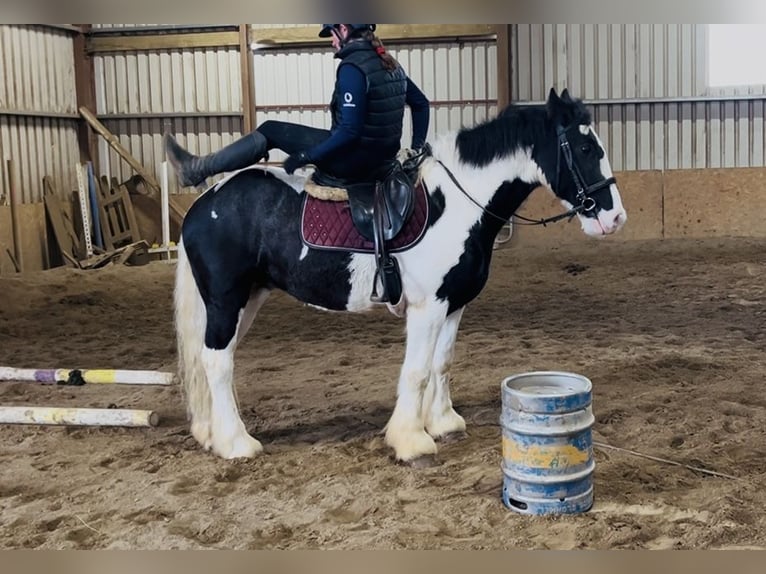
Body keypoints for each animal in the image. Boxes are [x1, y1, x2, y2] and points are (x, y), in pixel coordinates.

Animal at [171, 87, 627, 466]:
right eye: (585, 147)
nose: (615, 218)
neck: (455, 202)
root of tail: (204, 204)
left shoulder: (454, 303)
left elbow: (442, 362)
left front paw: (443, 423)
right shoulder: (428, 307)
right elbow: (417, 370)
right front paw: (411, 441)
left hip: (246, 299)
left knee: (215, 359)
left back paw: (212, 434)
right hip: (226, 299)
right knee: (217, 362)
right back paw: (236, 444)